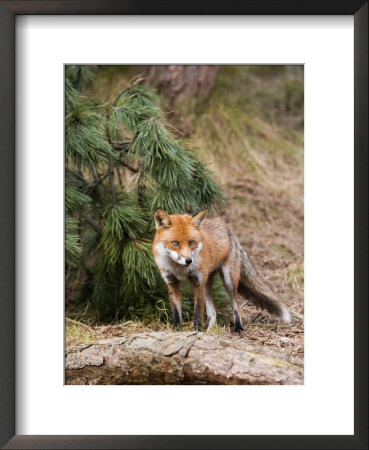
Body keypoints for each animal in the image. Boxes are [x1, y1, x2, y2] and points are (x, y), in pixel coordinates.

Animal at [152, 208, 290, 330]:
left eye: (191, 242)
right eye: (175, 243)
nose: (188, 260)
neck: (180, 270)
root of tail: (227, 228)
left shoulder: (198, 283)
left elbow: (198, 315)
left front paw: (197, 331)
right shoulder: (172, 283)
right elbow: (176, 314)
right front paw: (177, 330)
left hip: (228, 281)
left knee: (236, 305)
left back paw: (238, 327)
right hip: (207, 284)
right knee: (213, 313)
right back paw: (209, 331)